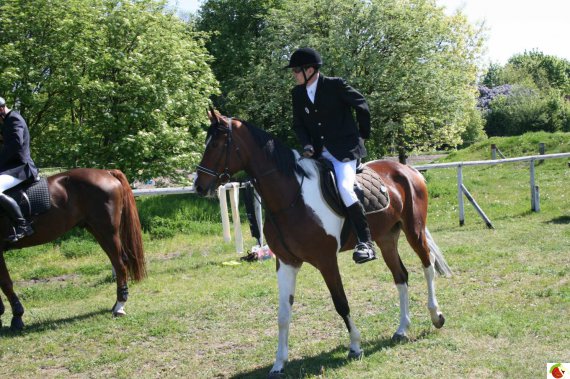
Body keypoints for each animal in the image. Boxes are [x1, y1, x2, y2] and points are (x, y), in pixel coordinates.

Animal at [0, 171, 145, 332]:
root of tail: (107, 172)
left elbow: (5, 284)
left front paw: (16, 318)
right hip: (97, 230)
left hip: (107, 231)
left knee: (120, 264)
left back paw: (119, 306)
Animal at [193, 111, 450, 378]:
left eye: (215, 144)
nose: (199, 185)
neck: (291, 198)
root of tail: (406, 169)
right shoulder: (286, 262)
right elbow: (283, 314)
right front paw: (278, 363)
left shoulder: (326, 260)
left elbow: (341, 303)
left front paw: (355, 346)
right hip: (386, 238)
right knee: (401, 276)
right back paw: (401, 329)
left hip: (414, 231)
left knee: (427, 266)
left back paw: (436, 316)